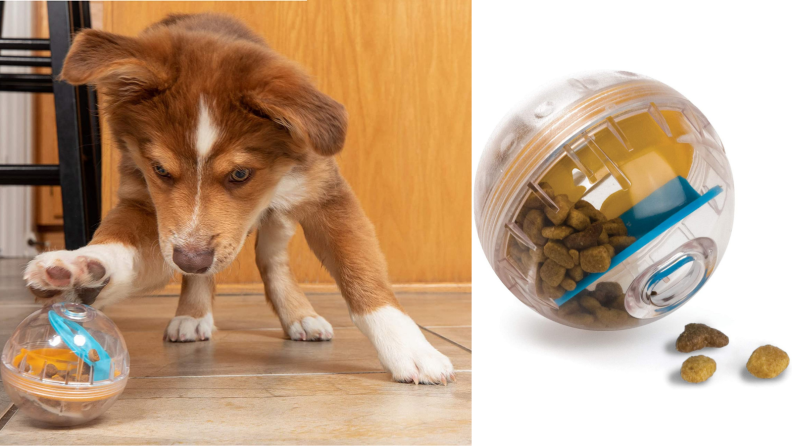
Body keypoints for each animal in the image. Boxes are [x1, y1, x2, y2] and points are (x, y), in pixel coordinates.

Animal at [23, 13, 452, 384]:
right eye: (159, 169)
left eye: (241, 174)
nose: (191, 259)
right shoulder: (149, 207)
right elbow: (120, 242)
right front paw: (81, 267)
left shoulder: (326, 195)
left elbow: (361, 272)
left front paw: (411, 349)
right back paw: (192, 314)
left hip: (280, 216)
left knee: (271, 258)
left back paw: (300, 316)